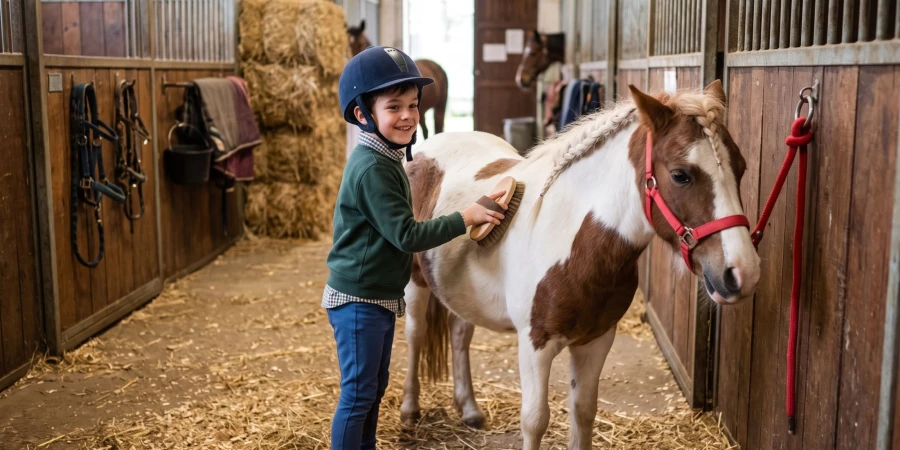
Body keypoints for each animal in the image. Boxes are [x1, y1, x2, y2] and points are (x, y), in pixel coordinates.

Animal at [400, 81, 761, 450]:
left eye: (741, 167)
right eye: (680, 175)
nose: (742, 273)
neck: (572, 239)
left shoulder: (596, 340)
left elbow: (584, 410)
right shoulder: (534, 345)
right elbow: (534, 421)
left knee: (460, 334)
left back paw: (470, 408)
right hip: (415, 283)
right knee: (416, 333)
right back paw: (410, 410)